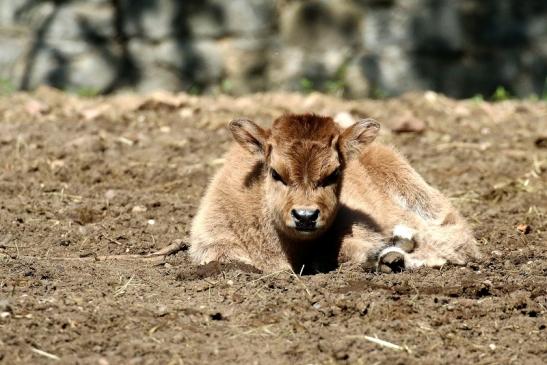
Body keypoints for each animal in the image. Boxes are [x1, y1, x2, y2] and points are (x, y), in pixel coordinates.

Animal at [191, 114, 482, 272]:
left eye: (333, 173)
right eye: (275, 173)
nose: (305, 216)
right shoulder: (214, 245)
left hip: (419, 197)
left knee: (456, 238)